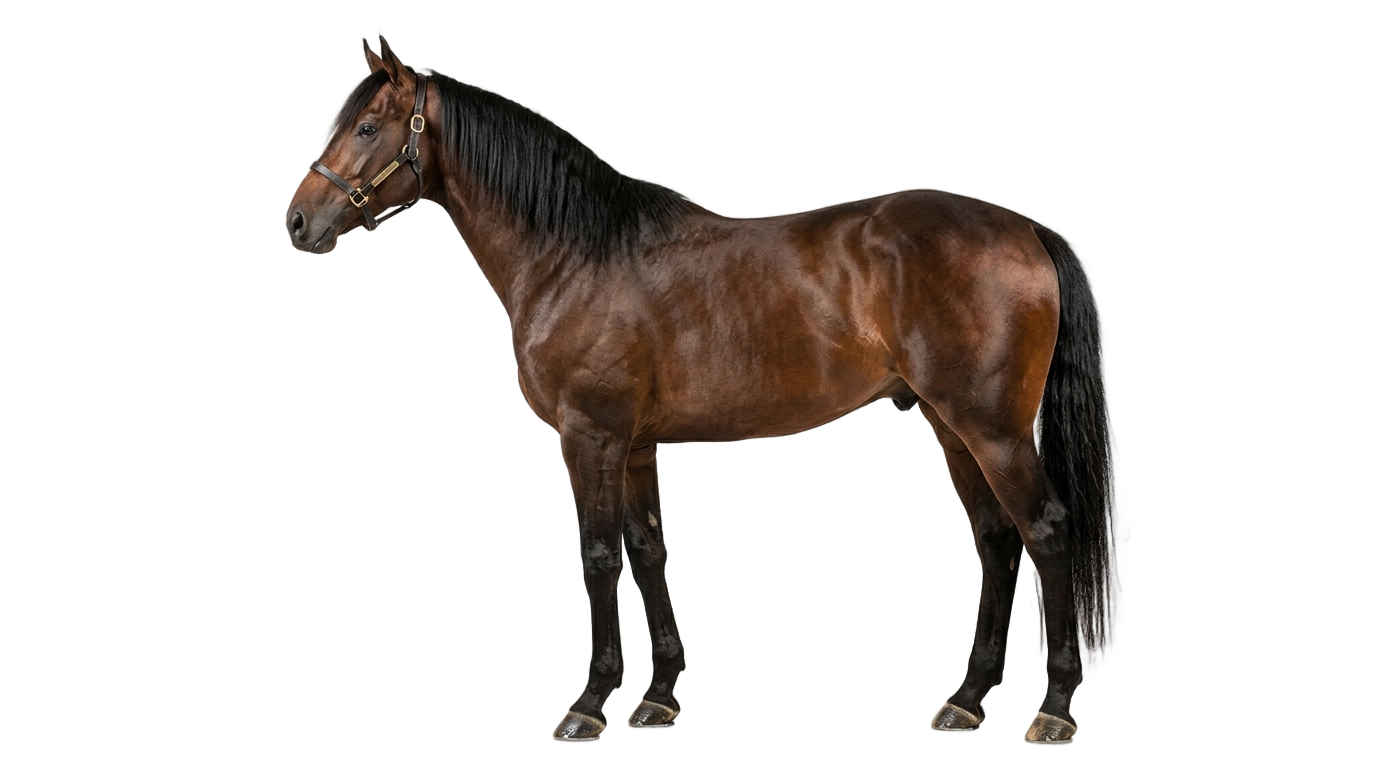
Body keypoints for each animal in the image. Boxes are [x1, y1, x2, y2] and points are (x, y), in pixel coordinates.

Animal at [285, 37, 1112, 744]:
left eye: (367, 126)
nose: (297, 221)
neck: (577, 255)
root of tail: (1026, 230)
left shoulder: (587, 435)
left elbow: (599, 554)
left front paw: (591, 705)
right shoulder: (633, 443)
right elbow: (649, 549)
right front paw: (660, 695)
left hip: (995, 429)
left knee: (1045, 532)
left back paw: (1054, 710)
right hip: (952, 425)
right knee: (995, 538)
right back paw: (966, 703)